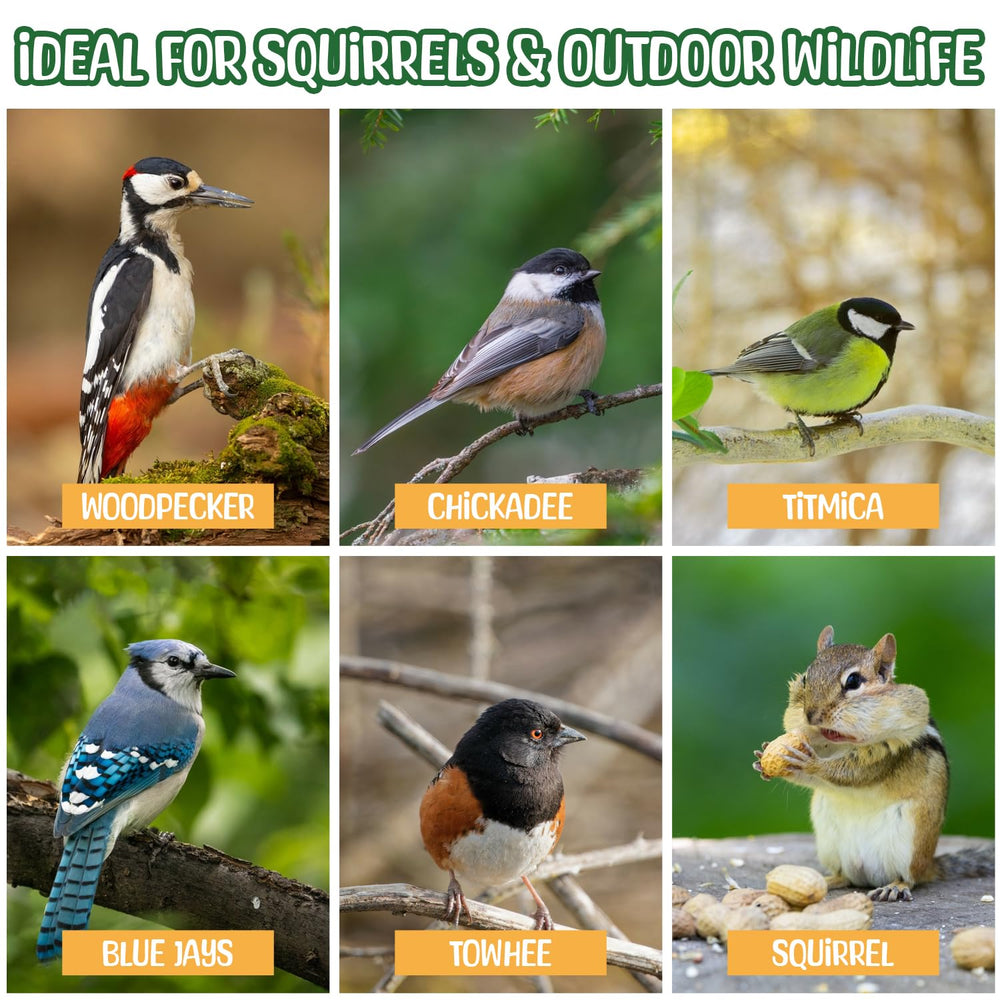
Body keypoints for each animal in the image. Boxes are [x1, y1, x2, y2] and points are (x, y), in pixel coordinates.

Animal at [753, 625, 992, 902]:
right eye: (805, 678)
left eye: (853, 681)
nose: (811, 715)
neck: (842, 743)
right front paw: (763, 758)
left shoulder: (889, 751)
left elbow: (854, 772)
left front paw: (810, 762)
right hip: (829, 842)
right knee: (844, 876)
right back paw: (827, 880)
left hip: (910, 842)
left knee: (911, 878)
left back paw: (895, 886)